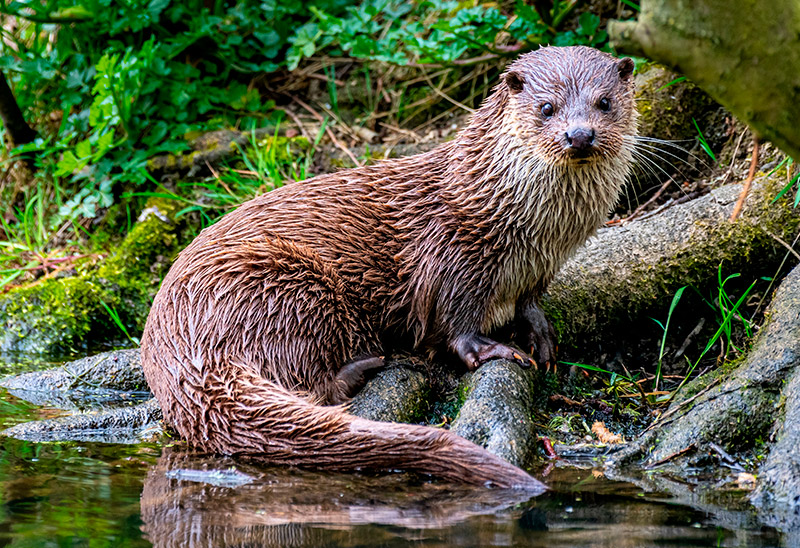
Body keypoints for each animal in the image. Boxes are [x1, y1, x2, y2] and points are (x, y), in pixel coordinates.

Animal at [139, 47, 636, 490]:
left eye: (604, 103)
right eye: (546, 108)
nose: (579, 135)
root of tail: (176, 344)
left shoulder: (539, 267)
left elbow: (531, 302)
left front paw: (538, 332)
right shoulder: (453, 253)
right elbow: (454, 323)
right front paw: (492, 349)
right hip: (287, 283)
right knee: (312, 383)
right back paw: (366, 365)